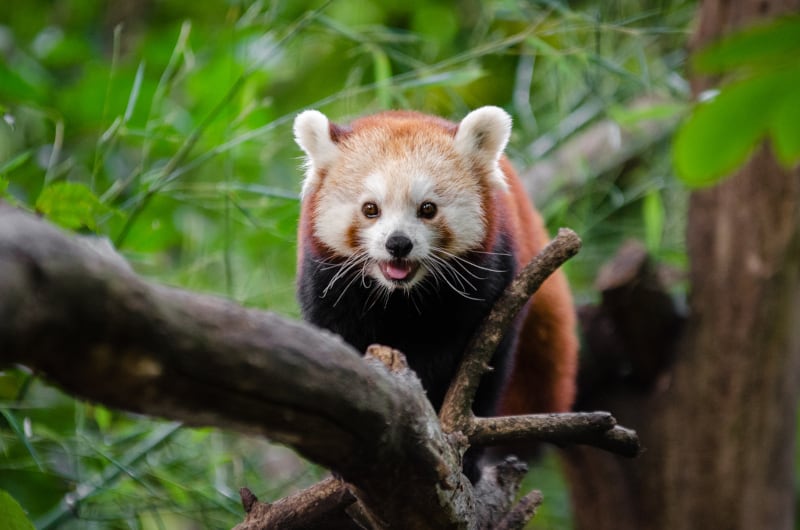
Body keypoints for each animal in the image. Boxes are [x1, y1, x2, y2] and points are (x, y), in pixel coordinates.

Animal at [292, 104, 576, 470]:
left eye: (427, 208)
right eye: (370, 209)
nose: (398, 243)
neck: (402, 296)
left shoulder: (487, 284)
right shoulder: (327, 284)